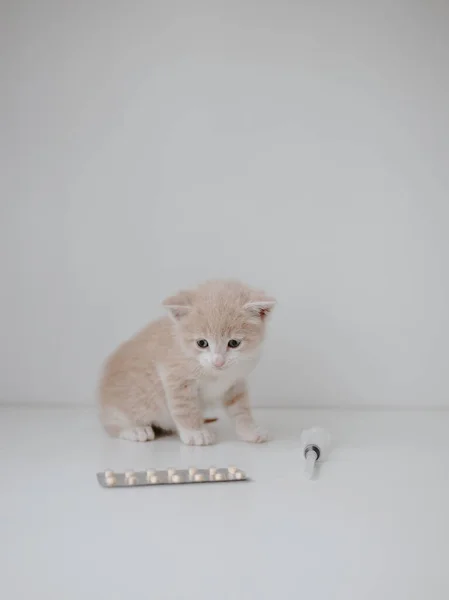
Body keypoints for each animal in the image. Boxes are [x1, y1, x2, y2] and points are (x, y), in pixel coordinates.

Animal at [98, 278, 274, 442]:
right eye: (202, 343)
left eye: (234, 343)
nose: (218, 362)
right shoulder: (175, 377)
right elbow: (185, 408)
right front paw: (195, 433)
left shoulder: (235, 382)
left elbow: (241, 408)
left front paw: (249, 430)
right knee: (112, 424)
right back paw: (134, 430)